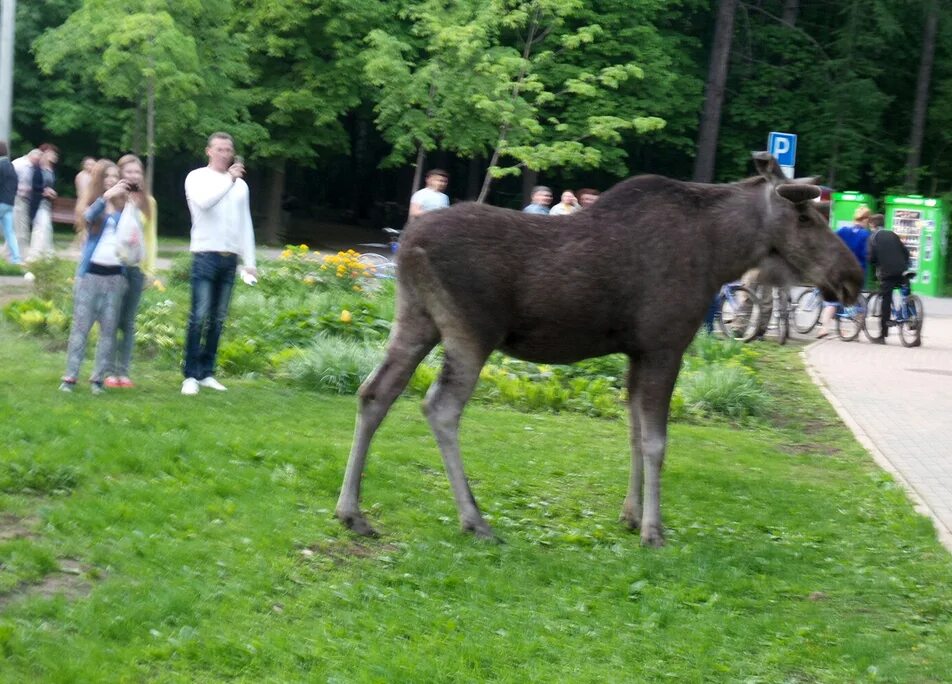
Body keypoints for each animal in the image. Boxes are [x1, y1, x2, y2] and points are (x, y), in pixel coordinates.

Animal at [334, 152, 864, 548]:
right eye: (804, 215)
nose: (853, 277)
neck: (721, 255)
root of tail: (406, 245)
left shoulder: (635, 352)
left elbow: (633, 432)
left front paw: (630, 515)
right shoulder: (665, 345)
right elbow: (656, 441)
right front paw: (653, 530)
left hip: (416, 320)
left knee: (374, 392)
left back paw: (352, 512)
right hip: (471, 331)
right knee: (440, 407)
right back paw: (475, 519)